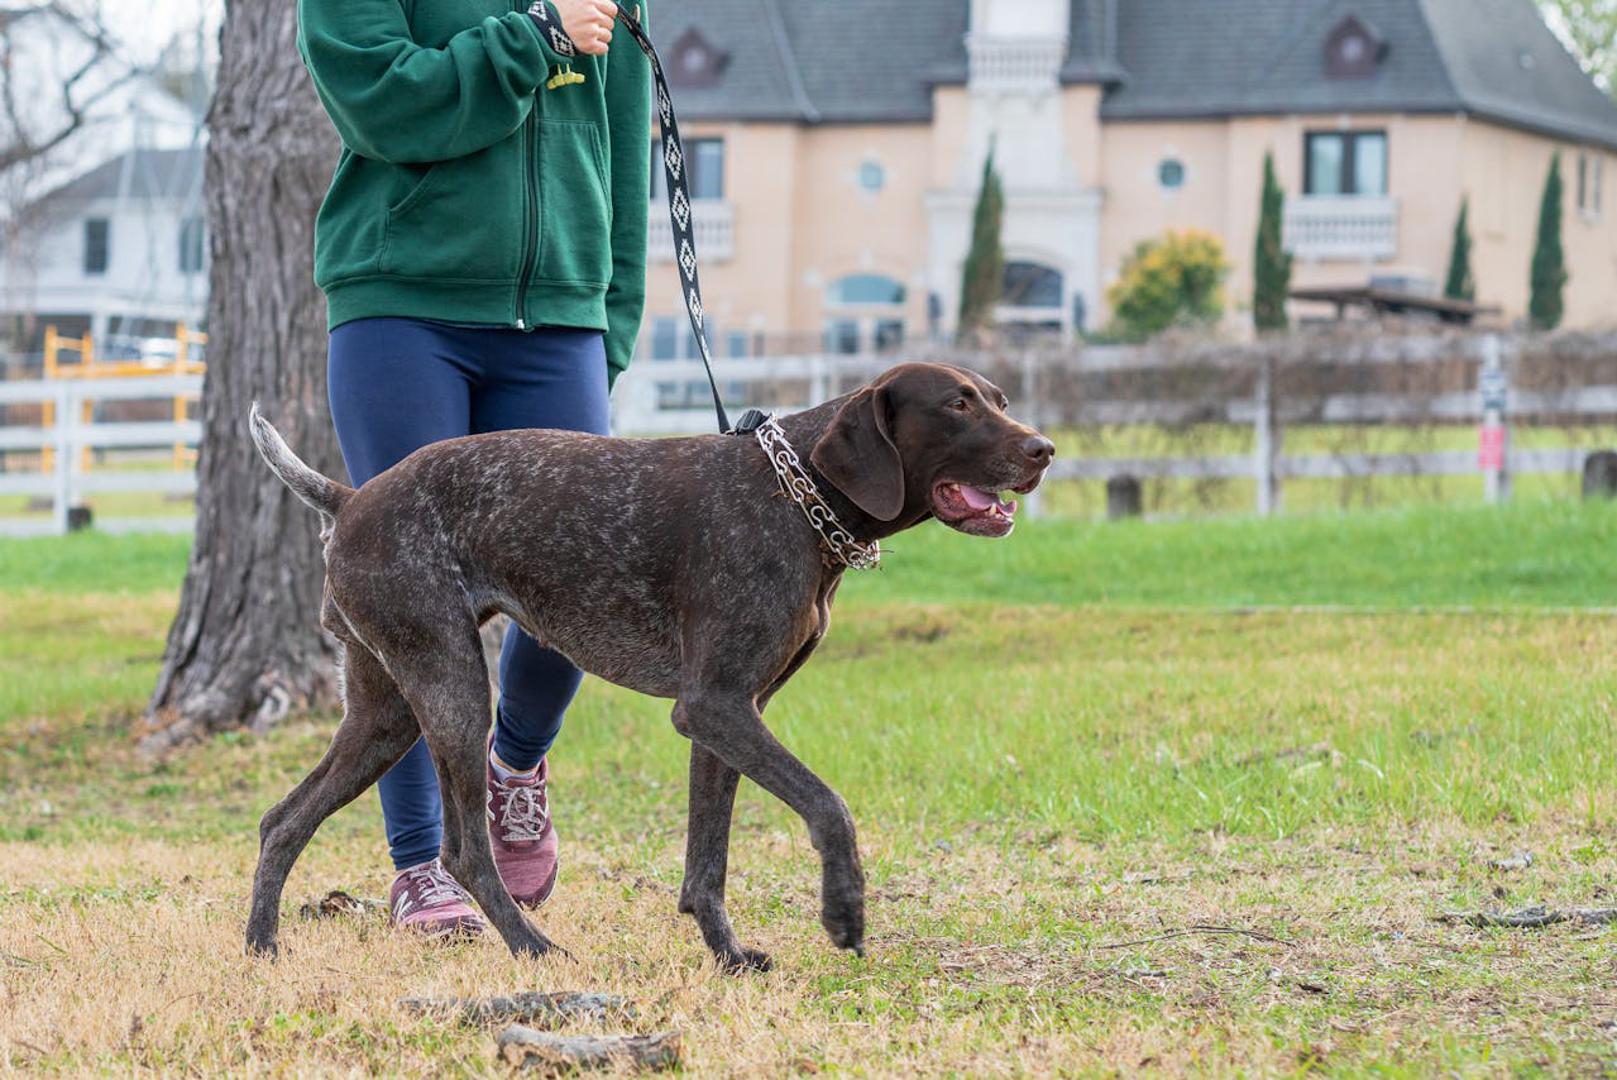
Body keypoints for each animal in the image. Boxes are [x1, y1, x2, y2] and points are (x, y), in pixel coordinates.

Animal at [239, 360, 1047, 970]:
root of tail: (349, 500)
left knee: (282, 820)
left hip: (386, 713)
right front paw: (843, 911)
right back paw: (533, 948)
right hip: (452, 689)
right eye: (956, 405)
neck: (797, 496)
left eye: (1001, 401)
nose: (1044, 450)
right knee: (464, 852)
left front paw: (727, 955)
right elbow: (829, 806)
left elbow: (707, 863)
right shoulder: (716, 707)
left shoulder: (728, 717)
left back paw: (261, 947)